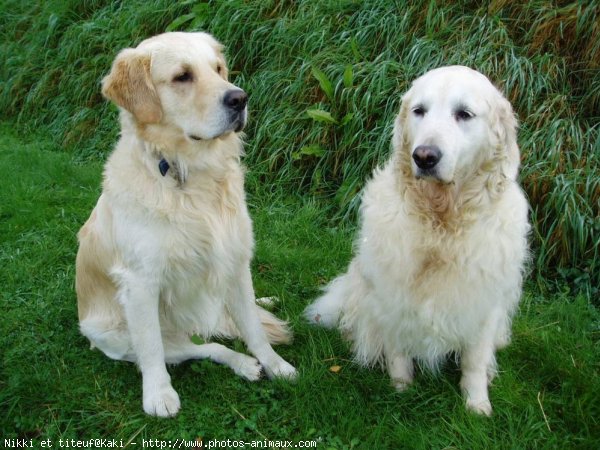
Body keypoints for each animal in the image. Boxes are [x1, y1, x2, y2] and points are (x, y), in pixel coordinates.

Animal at [76, 32, 296, 418]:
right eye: (182, 76)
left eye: (218, 69)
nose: (240, 98)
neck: (191, 175)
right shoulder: (141, 283)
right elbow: (151, 350)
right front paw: (158, 395)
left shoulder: (236, 260)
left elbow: (253, 328)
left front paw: (276, 365)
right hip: (119, 335)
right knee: (202, 347)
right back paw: (242, 364)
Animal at [304, 66, 528, 414]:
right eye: (419, 111)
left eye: (464, 114)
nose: (424, 156)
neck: (440, 222)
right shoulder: (391, 293)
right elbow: (398, 350)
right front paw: (401, 387)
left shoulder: (483, 302)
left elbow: (475, 360)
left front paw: (477, 403)